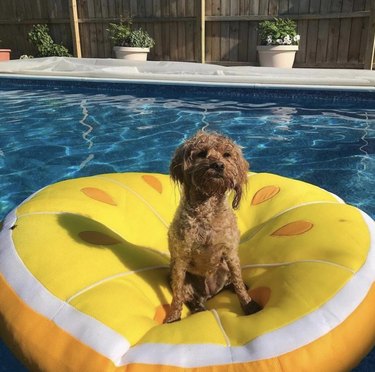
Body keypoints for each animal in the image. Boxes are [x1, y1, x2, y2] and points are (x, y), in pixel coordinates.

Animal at [164, 131, 262, 322]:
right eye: (202, 153)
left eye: (227, 155)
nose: (218, 165)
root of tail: (209, 293)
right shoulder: (180, 259)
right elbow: (177, 294)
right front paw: (173, 317)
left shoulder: (230, 252)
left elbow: (239, 283)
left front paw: (248, 305)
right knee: (191, 298)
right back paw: (199, 308)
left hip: (223, 269)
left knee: (233, 281)